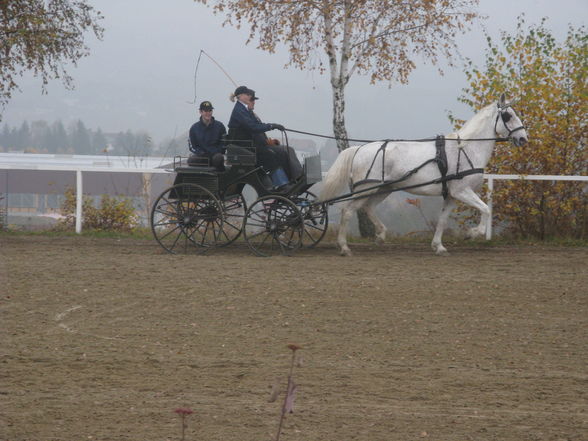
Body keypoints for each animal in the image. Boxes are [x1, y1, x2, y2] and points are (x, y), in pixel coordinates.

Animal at [320, 94, 532, 256]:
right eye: (508, 116)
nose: (523, 139)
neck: (466, 149)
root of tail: (358, 148)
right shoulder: (462, 191)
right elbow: (486, 209)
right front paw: (472, 233)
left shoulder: (452, 195)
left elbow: (442, 220)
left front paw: (438, 246)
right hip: (366, 189)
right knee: (348, 211)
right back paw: (344, 247)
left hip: (383, 189)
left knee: (368, 208)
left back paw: (380, 235)